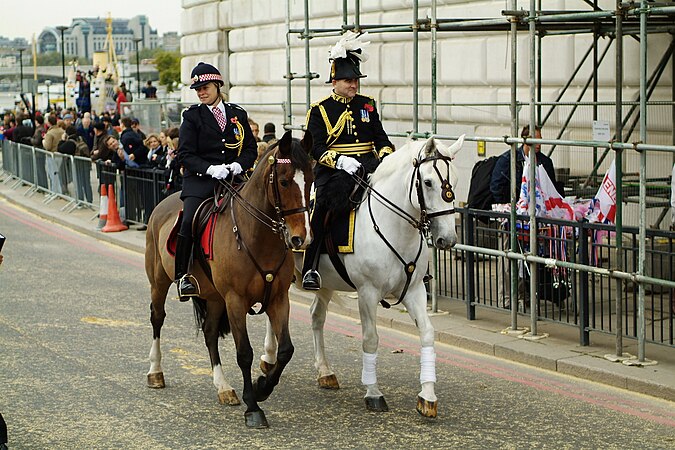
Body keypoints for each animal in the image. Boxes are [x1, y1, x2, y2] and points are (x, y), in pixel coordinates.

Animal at [145, 131, 314, 428]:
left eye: (312, 179)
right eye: (283, 181)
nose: (300, 239)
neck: (256, 235)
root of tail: (165, 202)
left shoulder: (278, 299)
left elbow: (286, 350)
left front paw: (262, 387)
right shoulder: (235, 300)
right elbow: (244, 353)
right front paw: (253, 407)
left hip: (213, 297)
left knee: (210, 332)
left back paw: (223, 387)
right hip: (159, 282)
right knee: (157, 318)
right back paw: (156, 371)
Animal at [262, 134, 462, 418]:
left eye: (454, 180)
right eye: (428, 182)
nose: (448, 239)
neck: (393, 227)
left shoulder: (414, 291)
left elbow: (427, 333)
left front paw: (427, 396)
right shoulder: (368, 292)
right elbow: (370, 339)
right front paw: (374, 392)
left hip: (325, 283)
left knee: (316, 316)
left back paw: (325, 371)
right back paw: (269, 359)